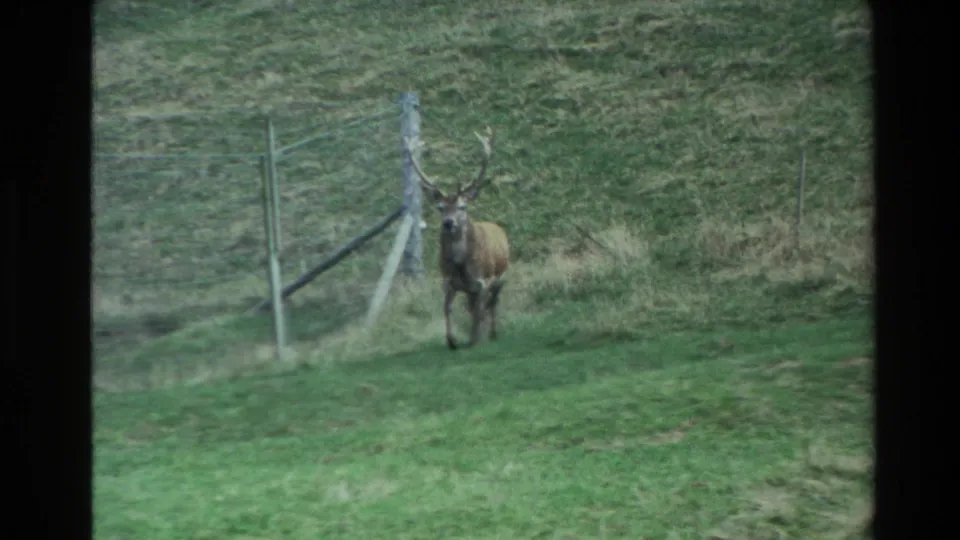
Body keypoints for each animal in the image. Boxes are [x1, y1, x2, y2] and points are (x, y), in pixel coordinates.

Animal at [405, 126, 510, 350]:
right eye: (440, 207)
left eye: (462, 206)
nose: (448, 223)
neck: (462, 265)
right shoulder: (448, 281)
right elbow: (447, 308)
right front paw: (451, 340)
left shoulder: (484, 280)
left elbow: (480, 311)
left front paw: (474, 339)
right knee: (476, 306)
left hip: (502, 275)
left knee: (492, 304)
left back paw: (493, 333)